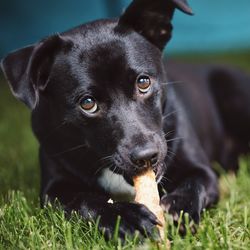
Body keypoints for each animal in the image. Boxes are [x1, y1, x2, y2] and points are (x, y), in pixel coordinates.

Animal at [0, 0, 250, 238]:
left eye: (143, 82)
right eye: (87, 103)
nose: (146, 156)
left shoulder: (202, 170)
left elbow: (195, 184)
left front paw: (179, 210)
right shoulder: (54, 188)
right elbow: (84, 200)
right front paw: (127, 218)